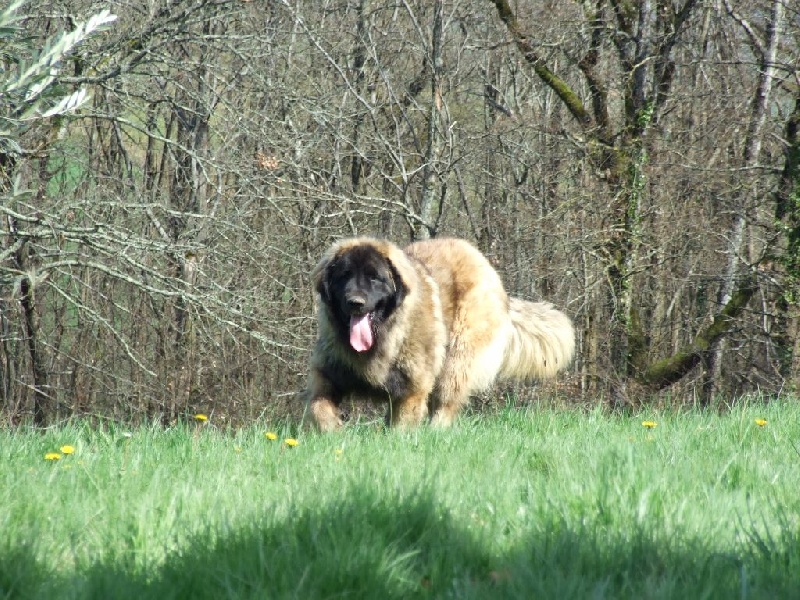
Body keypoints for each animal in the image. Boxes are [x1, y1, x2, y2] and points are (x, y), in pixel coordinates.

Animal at [306, 237, 576, 428]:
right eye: (344, 276)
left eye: (375, 278)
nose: (356, 303)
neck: (384, 336)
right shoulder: (327, 372)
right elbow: (318, 406)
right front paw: (333, 430)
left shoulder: (413, 389)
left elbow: (403, 424)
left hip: (457, 359)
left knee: (445, 403)